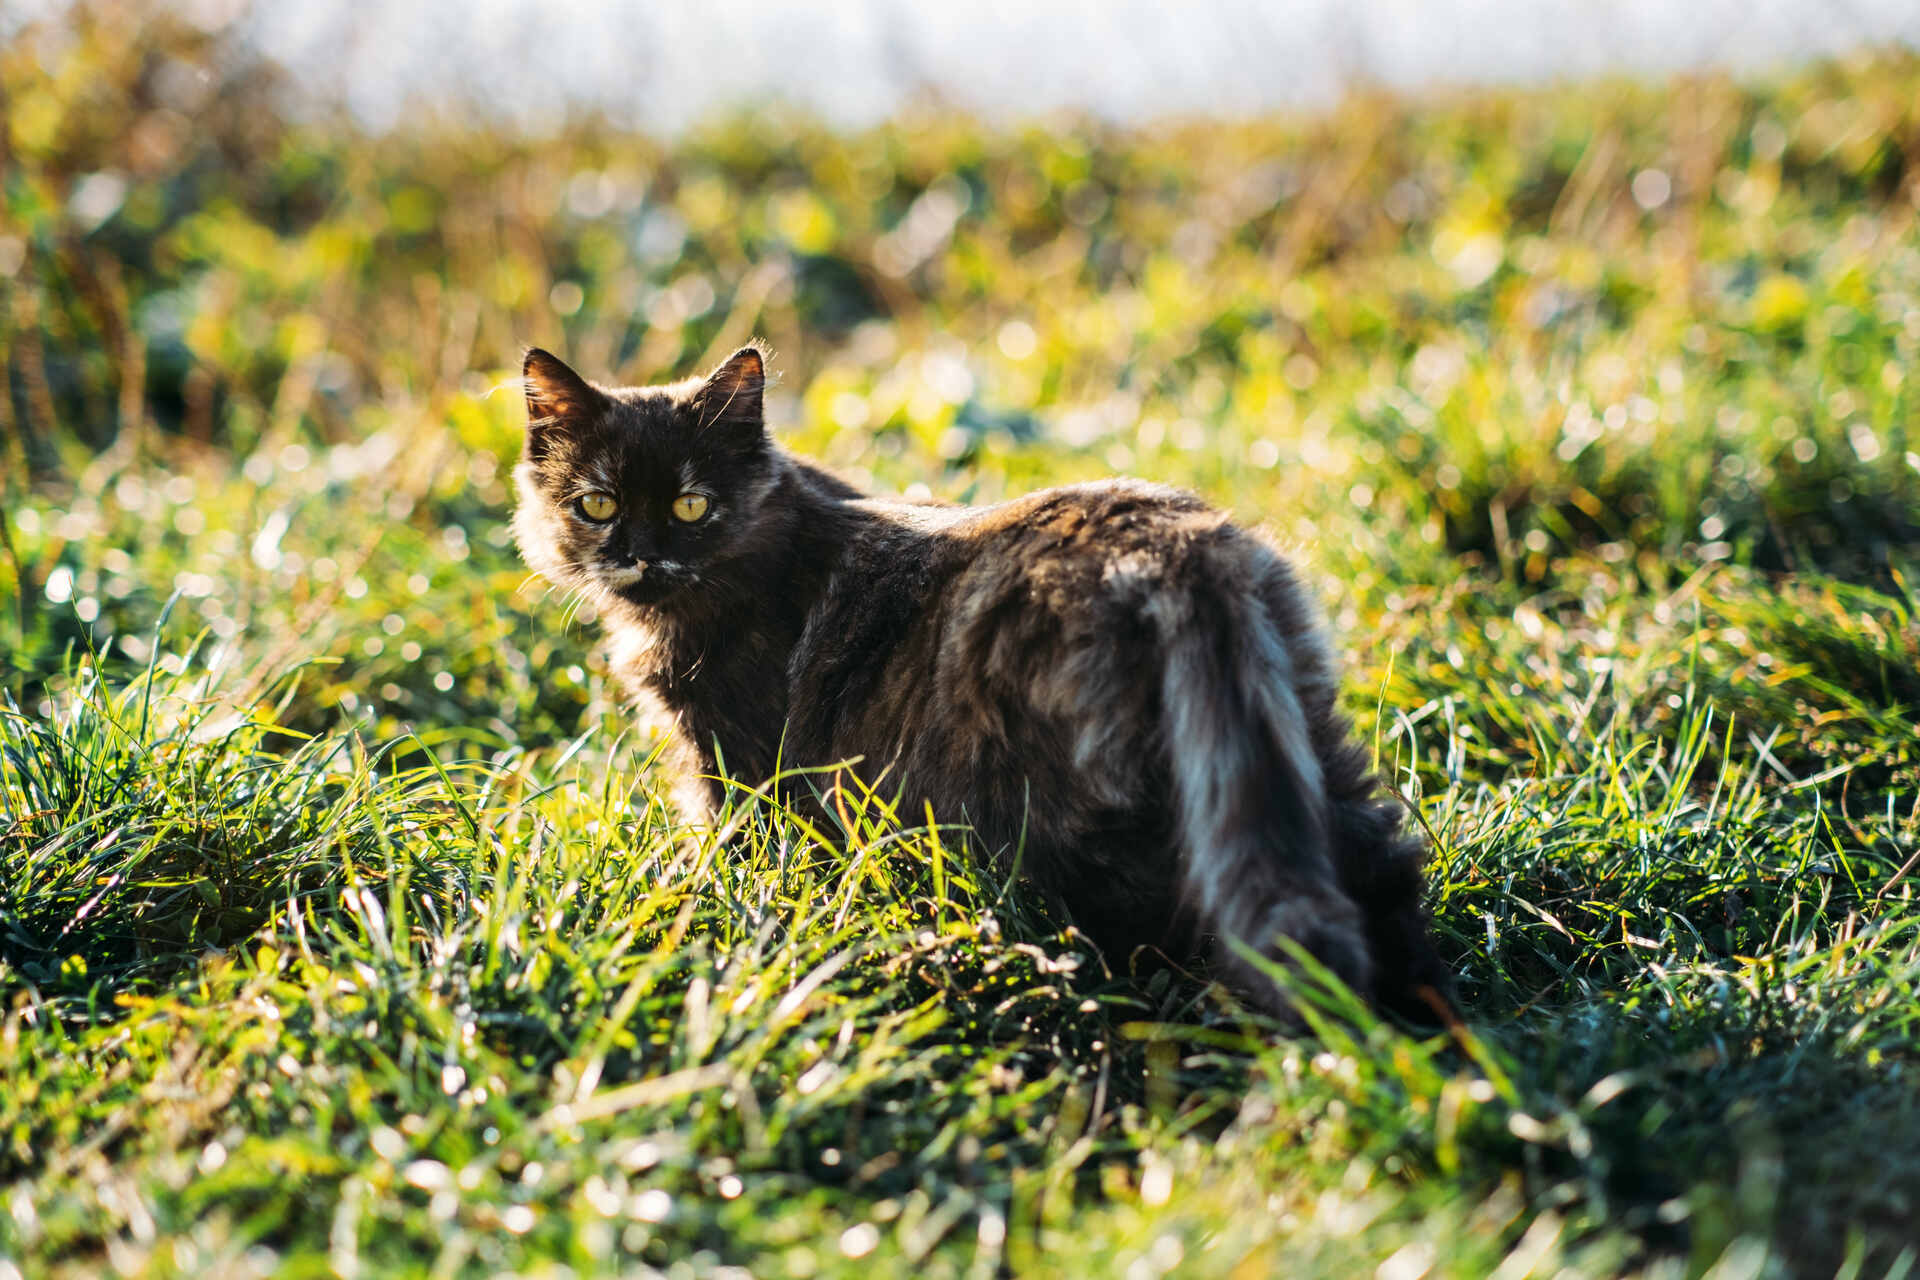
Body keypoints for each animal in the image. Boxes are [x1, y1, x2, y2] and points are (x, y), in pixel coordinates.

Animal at [518, 339, 1443, 1020]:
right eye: (597, 505)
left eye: (692, 505)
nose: (641, 556)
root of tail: (1172, 549)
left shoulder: (740, 766)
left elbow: (738, 854)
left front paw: (711, 910)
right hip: (1298, 742)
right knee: (1376, 866)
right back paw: (1402, 1028)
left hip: (1065, 811)